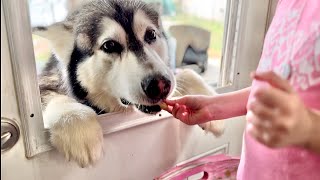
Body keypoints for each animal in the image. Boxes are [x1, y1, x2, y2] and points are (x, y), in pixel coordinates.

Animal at [33, 0, 224, 167]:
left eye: (151, 34)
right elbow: (53, 95)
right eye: (109, 45)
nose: (160, 86)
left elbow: (187, 74)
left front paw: (211, 105)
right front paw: (77, 123)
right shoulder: (46, 81)